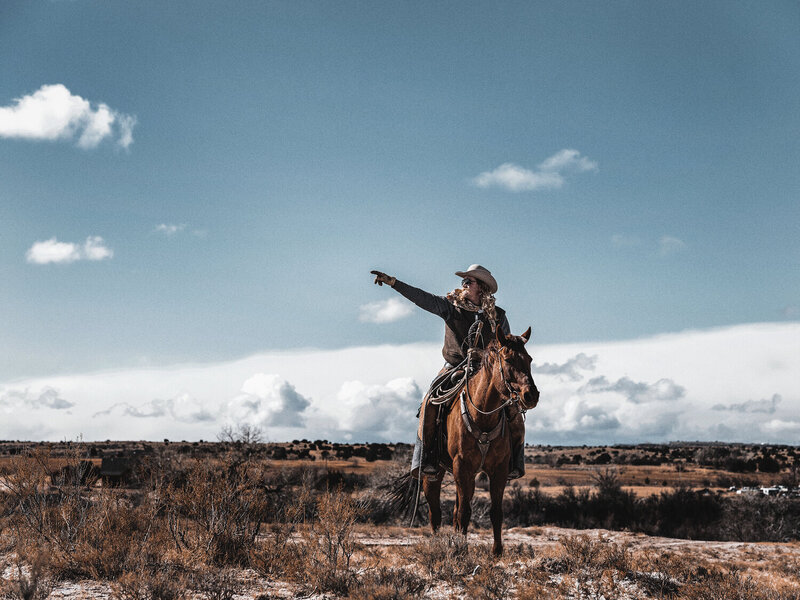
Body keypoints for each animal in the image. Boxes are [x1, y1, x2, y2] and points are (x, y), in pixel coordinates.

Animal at [422, 326, 540, 556]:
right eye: (508, 359)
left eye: (529, 359)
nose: (531, 395)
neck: (483, 415)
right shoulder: (462, 467)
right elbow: (464, 512)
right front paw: (462, 549)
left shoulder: (498, 470)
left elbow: (495, 512)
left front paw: (497, 552)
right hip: (434, 472)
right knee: (435, 511)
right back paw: (437, 544)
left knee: (455, 509)